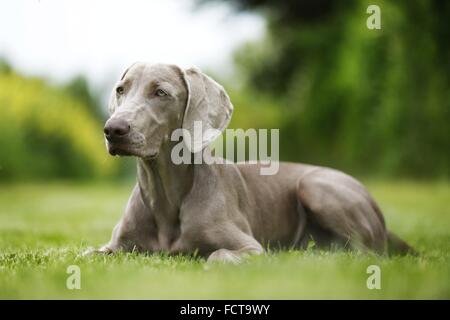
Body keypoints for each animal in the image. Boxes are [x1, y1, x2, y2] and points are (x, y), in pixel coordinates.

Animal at [86, 62, 414, 262]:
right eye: (120, 89)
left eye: (161, 92)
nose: (113, 129)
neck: (164, 194)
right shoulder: (114, 247)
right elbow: (89, 253)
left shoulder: (249, 247)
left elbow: (218, 255)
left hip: (316, 186)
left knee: (366, 252)